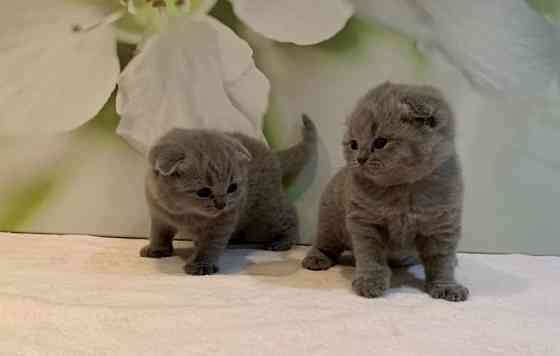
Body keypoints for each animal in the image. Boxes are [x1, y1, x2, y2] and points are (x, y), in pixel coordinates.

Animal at [142, 116, 318, 276]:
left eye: (232, 188)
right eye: (203, 192)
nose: (222, 204)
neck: (183, 212)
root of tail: (273, 155)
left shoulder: (223, 220)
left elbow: (210, 244)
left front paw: (201, 264)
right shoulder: (158, 213)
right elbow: (158, 233)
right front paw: (156, 249)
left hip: (267, 211)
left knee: (289, 215)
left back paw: (282, 241)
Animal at [302, 82, 468, 300]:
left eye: (380, 142)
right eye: (354, 144)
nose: (360, 159)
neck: (404, 189)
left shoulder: (441, 225)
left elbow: (442, 261)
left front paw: (446, 286)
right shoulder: (365, 222)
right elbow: (371, 257)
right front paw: (369, 282)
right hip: (330, 222)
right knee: (324, 242)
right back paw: (316, 259)